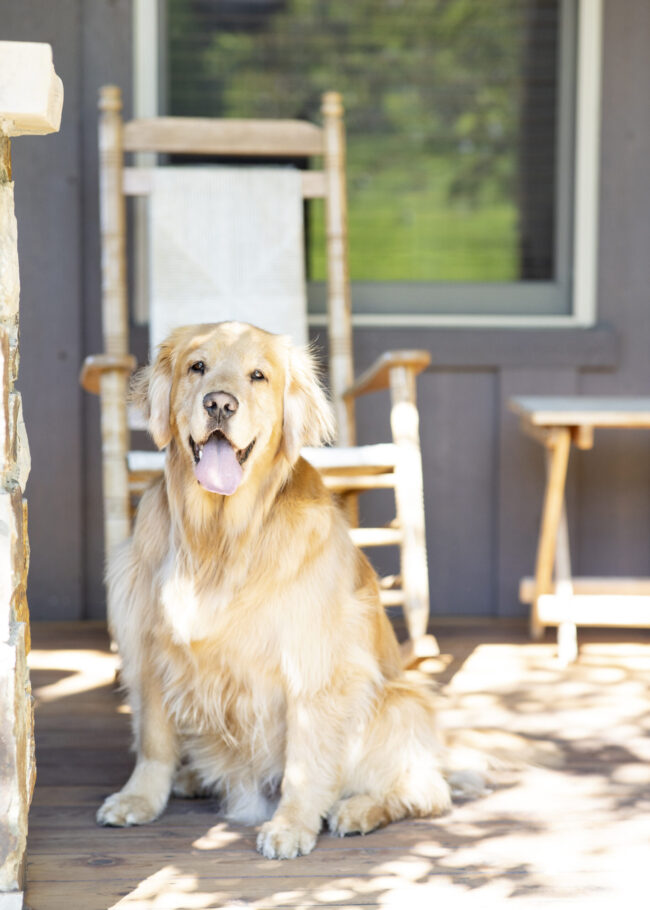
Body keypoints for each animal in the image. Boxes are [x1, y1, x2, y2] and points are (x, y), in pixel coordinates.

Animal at [97, 324, 466, 860]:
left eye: (258, 375)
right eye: (197, 367)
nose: (220, 404)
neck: (219, 539)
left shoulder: (314, 664)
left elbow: (305, 762)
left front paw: (292, 824)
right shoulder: (149, 643)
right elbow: (154, 740)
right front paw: (140, 798)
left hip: (399, 704)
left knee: (424, 790)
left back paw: (359, 809)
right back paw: (192, 778)